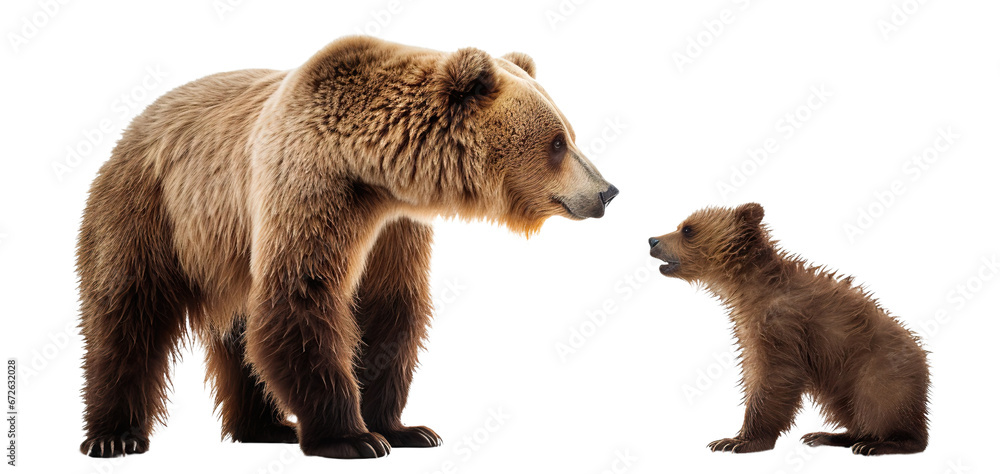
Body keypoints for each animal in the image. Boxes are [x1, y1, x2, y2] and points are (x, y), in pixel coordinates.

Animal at [76, 36, 617, 459]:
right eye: (557, 142)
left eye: (569, 133)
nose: (608, 190)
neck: (374, 169)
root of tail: (136, 123)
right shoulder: (312, 189)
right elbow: (302, 297)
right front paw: (352, 437)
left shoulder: (395, 228)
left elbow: (389, 311)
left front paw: (405, 429)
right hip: (151, 208)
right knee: (126, 311)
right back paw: (114, 435)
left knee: (241, 330)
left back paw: (265, 426)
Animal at [648, 203, 929, 456]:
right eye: (680, 226)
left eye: (687, 229)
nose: (652, 240)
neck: (749, 288)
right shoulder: (749, 328)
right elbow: (754, 372)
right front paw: (736, 438)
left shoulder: (784, 325)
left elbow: (776, 377)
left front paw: (737, 441)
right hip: (841, 383)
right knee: (847, 409)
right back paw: (828, 435)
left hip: (877, 369)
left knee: (880, 404)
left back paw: (881, 443)